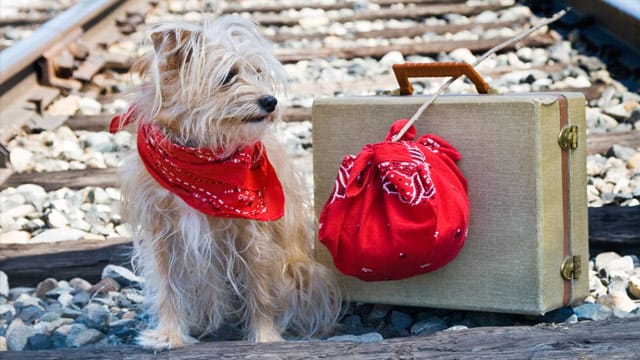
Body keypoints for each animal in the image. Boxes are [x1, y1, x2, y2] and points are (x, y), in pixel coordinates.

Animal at [115, 15, 342, 350]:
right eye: (228, 76)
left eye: (257, 72)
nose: (270, 101)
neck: (201, 153)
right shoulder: (161, 230)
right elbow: (168, 286)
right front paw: (169, 334)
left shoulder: (252, 231)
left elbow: (259, 286)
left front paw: (265, 336)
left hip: (303, 271)